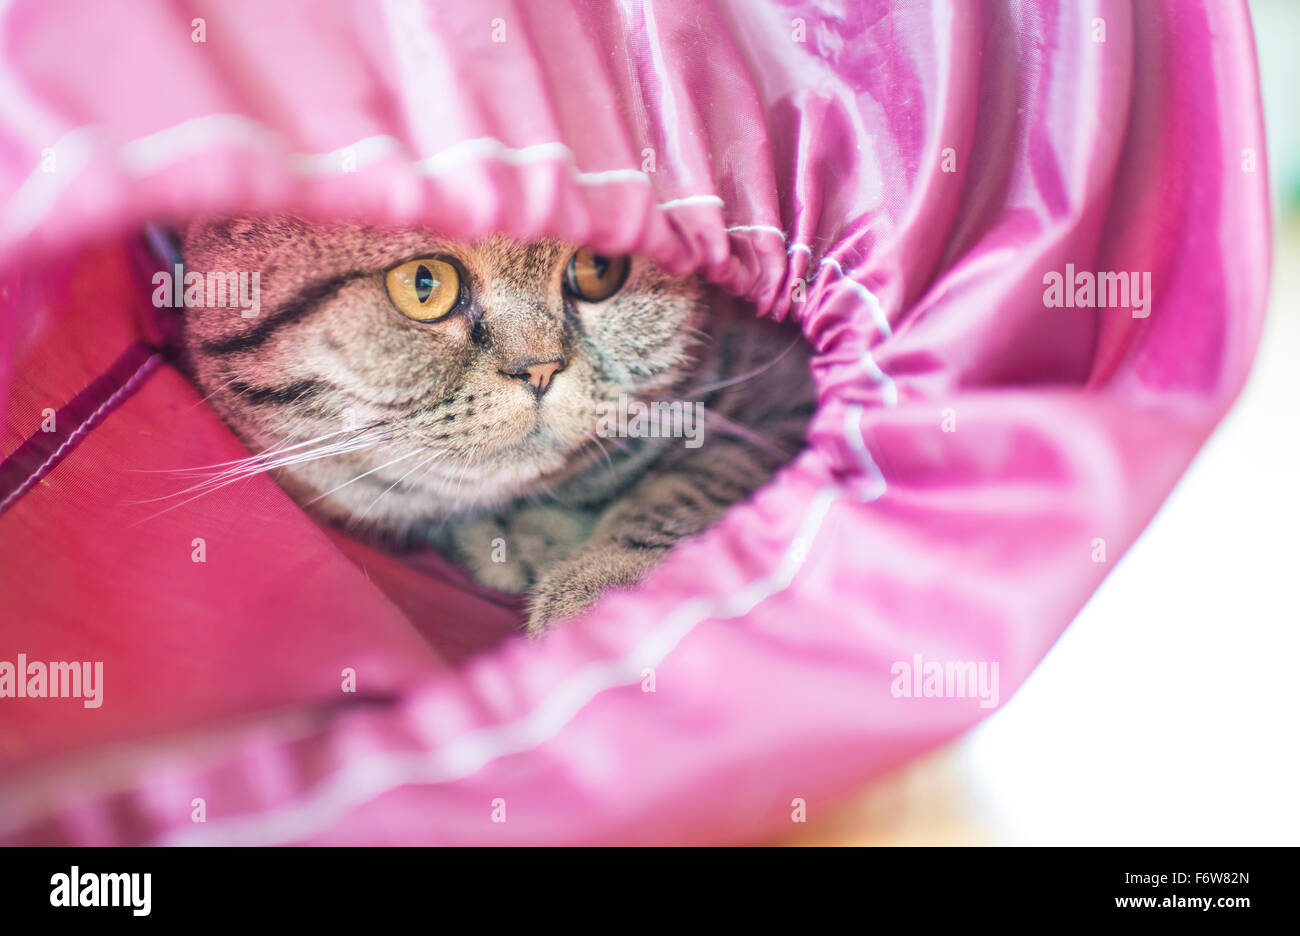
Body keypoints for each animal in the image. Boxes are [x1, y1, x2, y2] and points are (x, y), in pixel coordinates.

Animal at [178, 215, 811, 631]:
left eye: (599, 265)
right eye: (423, 283)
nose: (540, 368)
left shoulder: (788, 406)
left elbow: (694, 480)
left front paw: (606, 590)